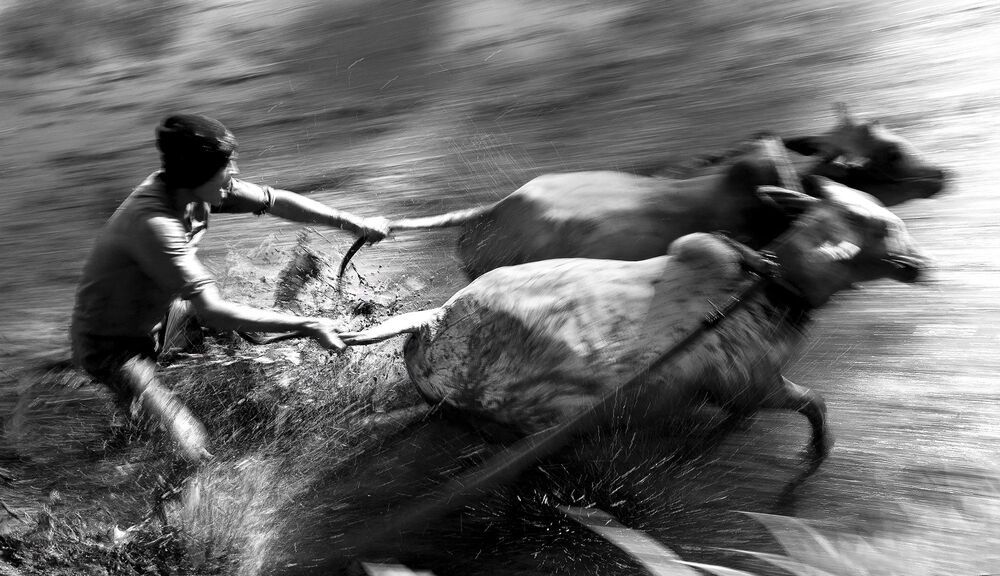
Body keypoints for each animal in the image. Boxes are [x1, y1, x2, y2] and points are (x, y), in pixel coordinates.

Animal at [339, 176, 927, 463]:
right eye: (877, 228)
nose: (921, 265)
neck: (769, 292)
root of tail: (432, 320)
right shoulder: (755, 383)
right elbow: (815, 405)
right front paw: (819, 450)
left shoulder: (739, 393)